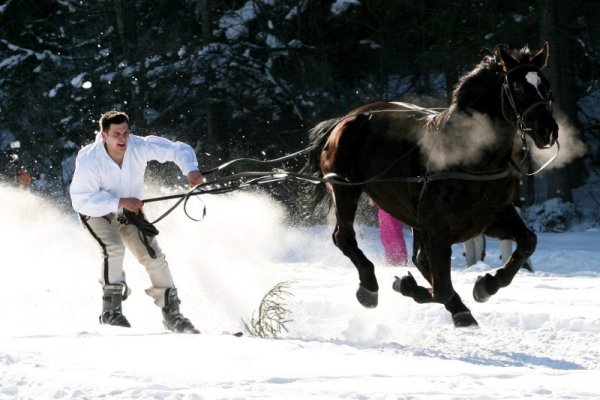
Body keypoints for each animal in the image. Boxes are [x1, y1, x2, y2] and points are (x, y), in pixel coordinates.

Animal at [308, 43, 560, 326]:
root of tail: (345, 119)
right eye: (518, 88)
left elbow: (528, 242)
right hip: (345, 189)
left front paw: (486, 286)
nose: (548, 130)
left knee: (418, 259)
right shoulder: (438, 231)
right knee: (344, 237)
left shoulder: (492, 218)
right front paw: (407, 286)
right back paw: (369, 287)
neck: (472, 159)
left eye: (546, 86)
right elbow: (441, 289)